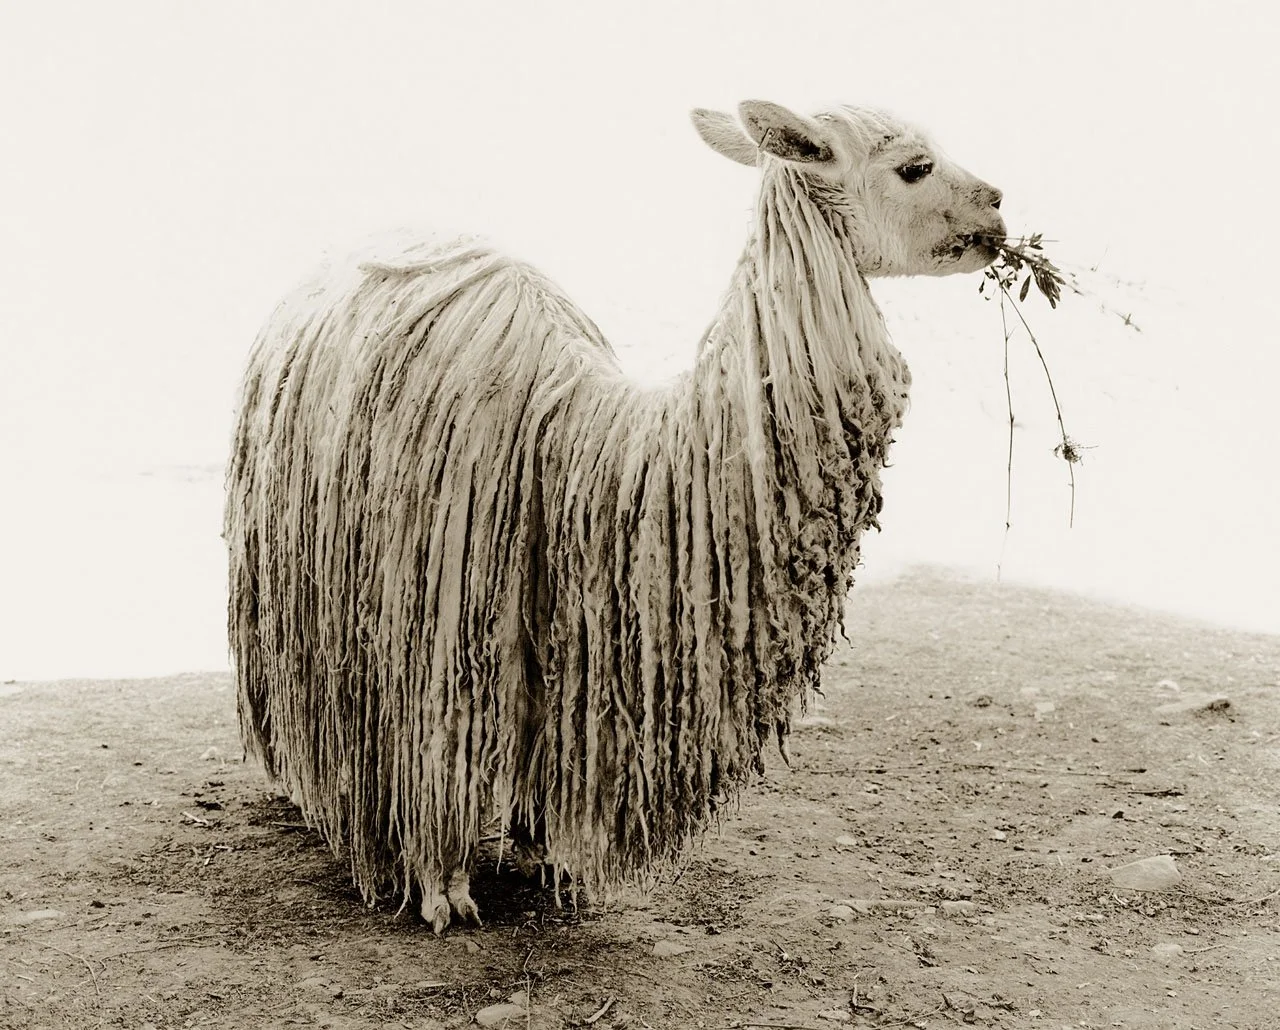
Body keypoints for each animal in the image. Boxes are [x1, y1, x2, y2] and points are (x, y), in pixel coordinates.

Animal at [225, 99, 1006, 932]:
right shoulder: (436, 623)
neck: (586, 446)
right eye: (915, 166)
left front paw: (539, 852)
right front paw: (442, 889)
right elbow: (439, 745)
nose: (999, 208)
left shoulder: (566, 622)